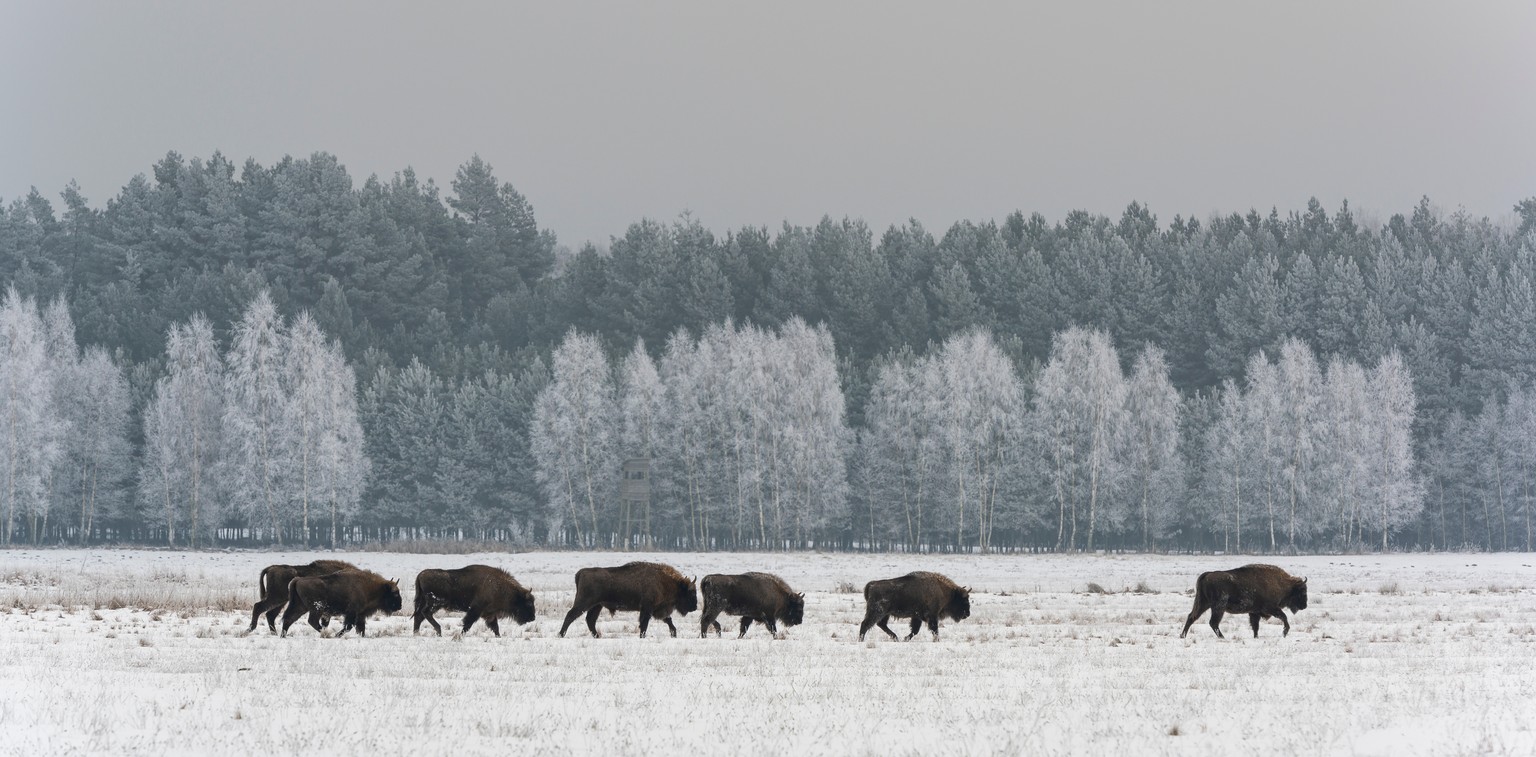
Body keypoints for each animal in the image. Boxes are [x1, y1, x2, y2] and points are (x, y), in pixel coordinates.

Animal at [562, 561, 700, 638]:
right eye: (691, 592)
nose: (695, 607)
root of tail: (581, 572)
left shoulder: (656, 610)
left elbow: (668, 620)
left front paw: (674, 633)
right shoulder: (647, 609)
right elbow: (644, 624)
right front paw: (642, 636)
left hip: (597, 606)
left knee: (590, 620)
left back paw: (597, 636)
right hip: (584, 603)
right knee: (571, 615)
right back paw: (561, 634)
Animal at [1173, 561, 1308, 638]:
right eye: (1302, 591)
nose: (1305, 606)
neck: (1281, 584)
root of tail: (1207, 575)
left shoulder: (1254, 612)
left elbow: (1255, 626)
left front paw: (1256, 637)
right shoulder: (1271, 608)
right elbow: (1284, 617)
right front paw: (1284, 632)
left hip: (1203, 603)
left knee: (1192, 617)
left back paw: (1182, 636)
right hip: (1218, 607)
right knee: (1213, 622)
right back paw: (1222, 637)